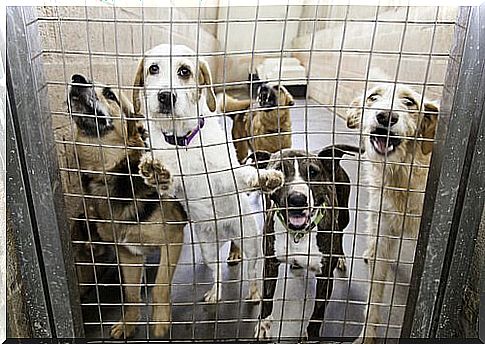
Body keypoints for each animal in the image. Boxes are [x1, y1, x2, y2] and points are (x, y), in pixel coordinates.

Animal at [69, 73, 186, 338]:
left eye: (110, 94)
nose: (77, 78)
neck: (109, 174)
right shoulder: (128, 253)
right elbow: (131, 294)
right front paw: (129, 323)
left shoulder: (173, 238)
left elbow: (159, 287)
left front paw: (160, 321)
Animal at [132, 45, 284, 304]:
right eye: (153, 68)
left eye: (184, 71)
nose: (165, 96)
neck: (184, 142)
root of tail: (222, 233)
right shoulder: (175, 187)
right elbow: (168, 181)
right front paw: (156, 173)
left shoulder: (225, 175)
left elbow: (245, 175)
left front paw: (264, 178)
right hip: (208, 249)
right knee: (217, 273)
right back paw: (215, 292)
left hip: (250, 242)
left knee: (252, 270)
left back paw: (254, 291)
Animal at [246, 144, 360, 338]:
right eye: (278, 172)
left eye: (313, 172)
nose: (297, 199)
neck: (298, 234)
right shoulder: (270, 265)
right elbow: (267, 297)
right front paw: (263, 325)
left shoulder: (325, 276)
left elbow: (318, 310)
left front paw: (311, 335)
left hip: (345, 215)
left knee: (341, 231)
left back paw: (341, 257)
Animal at [346, 84, 436, 344]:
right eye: (373, 97)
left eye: (409, 102)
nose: (386, 116)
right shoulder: (384, 228)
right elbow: (374, 293)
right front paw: (367, 334)